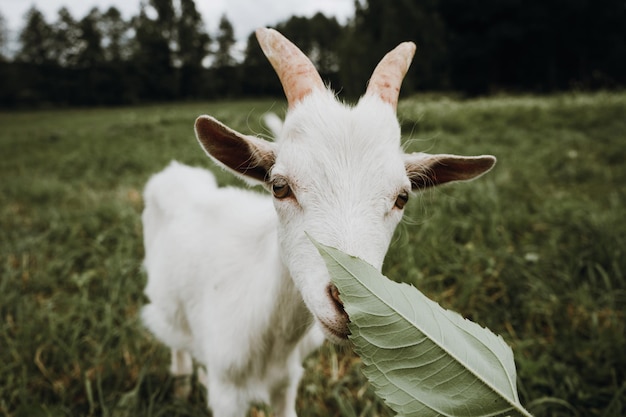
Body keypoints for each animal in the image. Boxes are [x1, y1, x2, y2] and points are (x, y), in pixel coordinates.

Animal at [141, 27, 498, 414]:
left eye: (402, 197)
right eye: (279, 186)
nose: (350, 302)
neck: (274, 338)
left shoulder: (287, 381)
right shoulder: (226, 391)